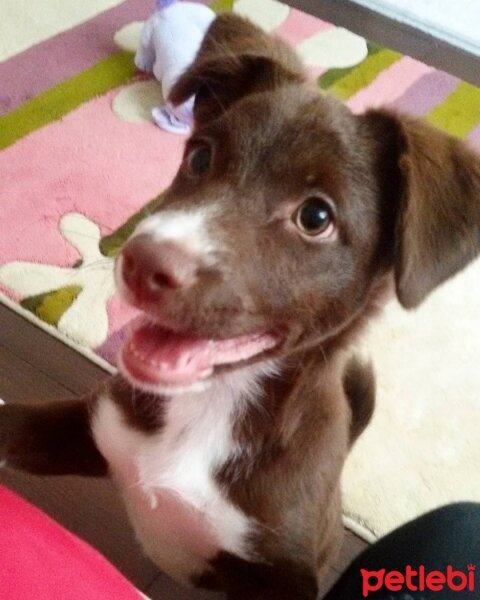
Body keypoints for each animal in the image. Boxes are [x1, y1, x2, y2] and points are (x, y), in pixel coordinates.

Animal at [0, 12, 480, 600]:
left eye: (316, 217)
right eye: (200, 156)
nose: (138, 262)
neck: (212, 406)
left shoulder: (279, 575)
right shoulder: (85, 426)